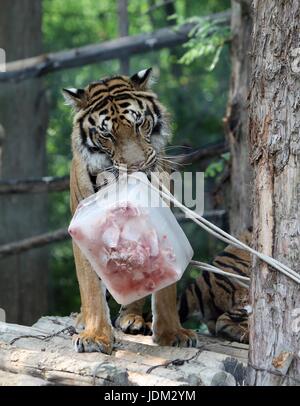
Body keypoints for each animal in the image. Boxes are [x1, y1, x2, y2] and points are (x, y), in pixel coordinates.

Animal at [63, 68, 198, 354]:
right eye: (107, 135)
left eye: (139, 124)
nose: (136, 167)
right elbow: (90, 285)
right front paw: (95, 336)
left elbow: (166, 289)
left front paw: (172, 334)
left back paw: (133, 318)